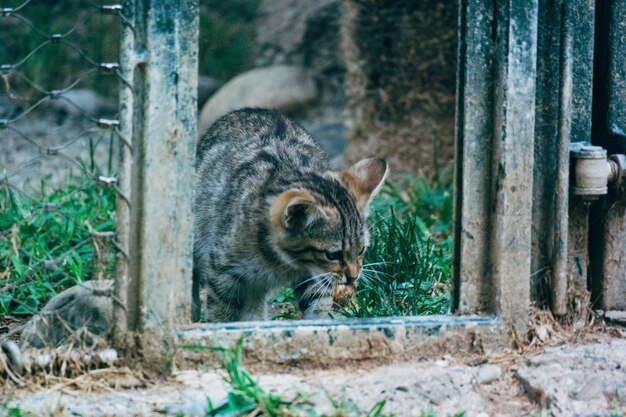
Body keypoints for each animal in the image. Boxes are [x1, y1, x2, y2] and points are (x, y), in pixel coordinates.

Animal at [190, 108, 386, 322]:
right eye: (333, 255)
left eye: (361, 250)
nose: (354, 277)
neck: (281, 262)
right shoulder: (222, 272)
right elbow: (221, 314)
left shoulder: (314, 279)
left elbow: (318, 306)